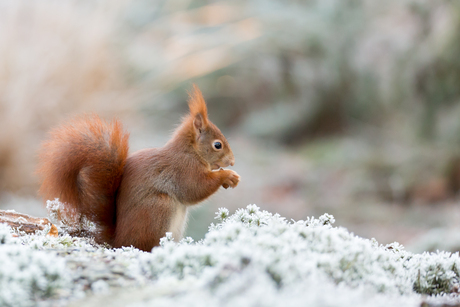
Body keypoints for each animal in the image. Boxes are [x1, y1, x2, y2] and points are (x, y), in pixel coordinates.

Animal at [36, 85, 241, 251]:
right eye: (217, 145)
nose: (232, 161)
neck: (190, 151)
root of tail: (118, 240)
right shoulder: (183, 169)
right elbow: (194, 189)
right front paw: (228, 176)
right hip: (158, 208)